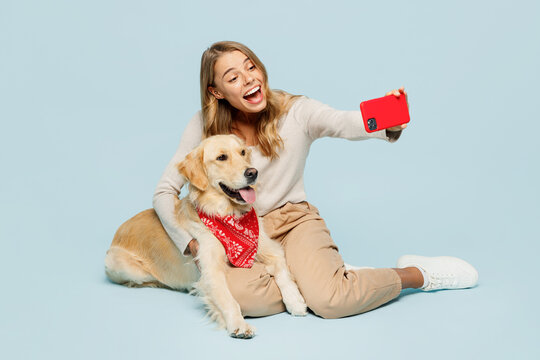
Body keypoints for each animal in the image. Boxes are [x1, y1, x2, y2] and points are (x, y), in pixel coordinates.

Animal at [104, 134, 308, 338]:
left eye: (243, 152)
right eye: (221, 157)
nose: (253, 172)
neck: (228, 213)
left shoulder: (269, 248)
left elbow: (282, 269)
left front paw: (295, 300)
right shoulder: (210, 268)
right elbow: (228, 299)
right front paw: (239, 325)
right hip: (119, 264)